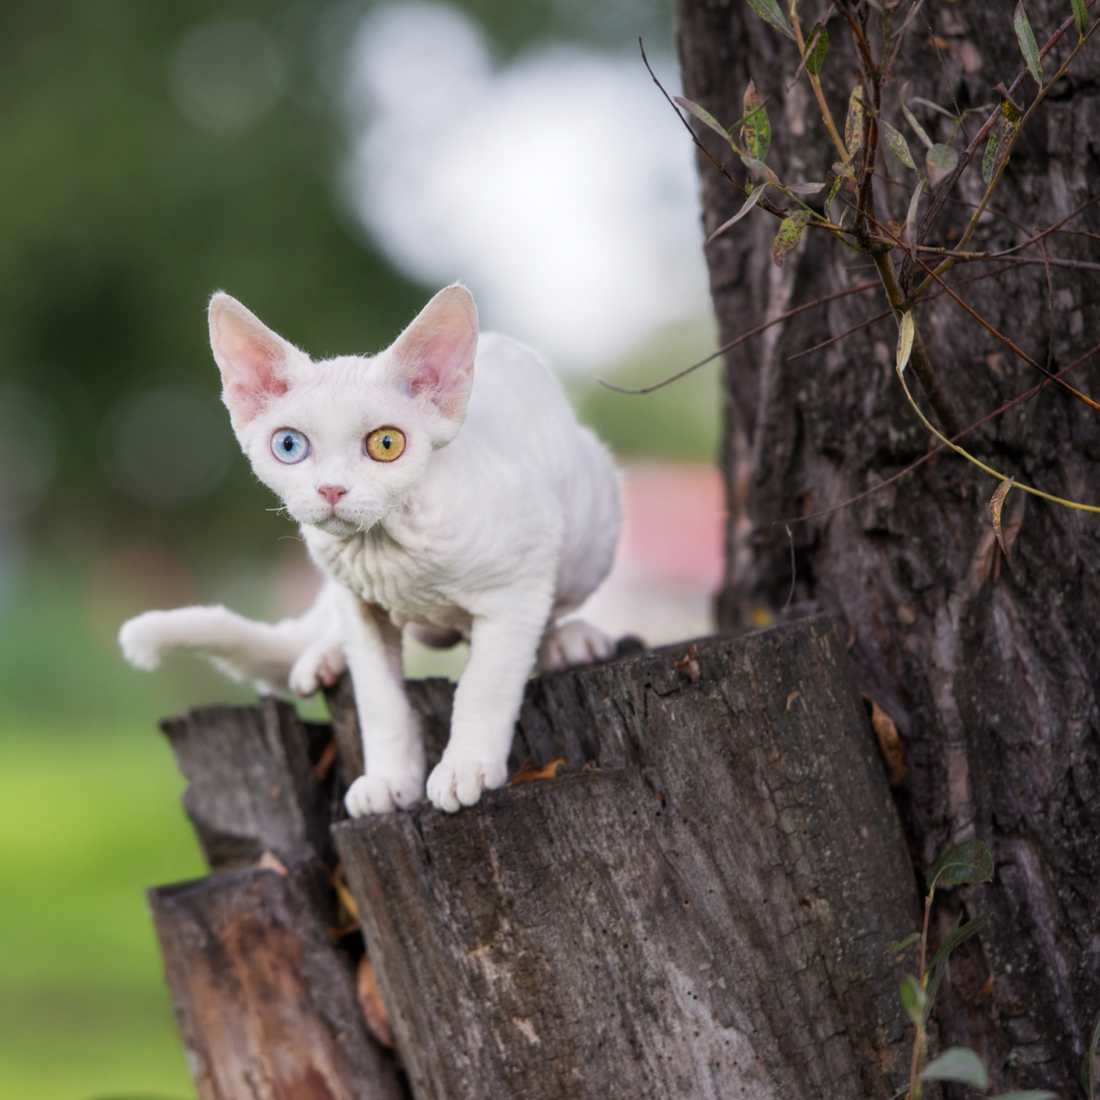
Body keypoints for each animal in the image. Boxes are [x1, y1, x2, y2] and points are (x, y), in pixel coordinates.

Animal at [121, 286, 624, 818]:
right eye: (289, 445)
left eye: (386, 443)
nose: (331, 489)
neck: (384, 545)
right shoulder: (358, 604)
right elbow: (380, 701)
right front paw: (388, 780)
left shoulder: (524, 570)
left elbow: (484, 685)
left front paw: (464, 768)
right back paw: (325, 656)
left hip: (590, 526)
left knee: (549, 610)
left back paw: (565, 641)